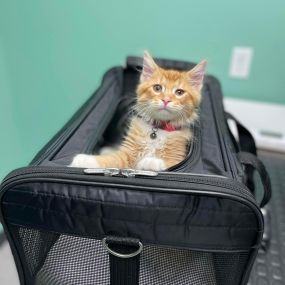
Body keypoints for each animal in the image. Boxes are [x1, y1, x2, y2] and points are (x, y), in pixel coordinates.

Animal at [70, 50, 205, 171]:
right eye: (157, 88)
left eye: (179, 92)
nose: (166, 100)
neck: (158, 130)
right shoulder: (127, 154)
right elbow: (111, 159)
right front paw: (84, 159)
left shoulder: (177, 159)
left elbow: (167, 162)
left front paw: (150, 162)